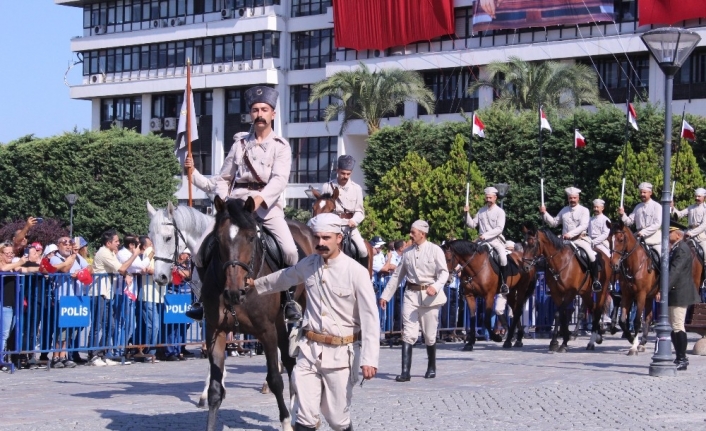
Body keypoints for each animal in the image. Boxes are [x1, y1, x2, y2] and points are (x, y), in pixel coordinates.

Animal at [202, 197, 314, 431]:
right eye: (218, 239)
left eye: (251, 237)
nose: (233, 292)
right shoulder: (216, 332)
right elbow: (215, 389)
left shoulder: (266, 331)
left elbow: (275, 380)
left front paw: (286, 422)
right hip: (279, 322)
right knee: (289, 362)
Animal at [604, 221, 700, 356]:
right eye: (608, 239)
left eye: (621, 239)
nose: (614, 265)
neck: (635, 264)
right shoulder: (628, 295)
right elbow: (623, 320)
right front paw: (631, 339)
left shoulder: (640, 295)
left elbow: (637, 321)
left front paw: (633, 346)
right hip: (650, 297)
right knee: (649, 318)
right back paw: (643, 343)